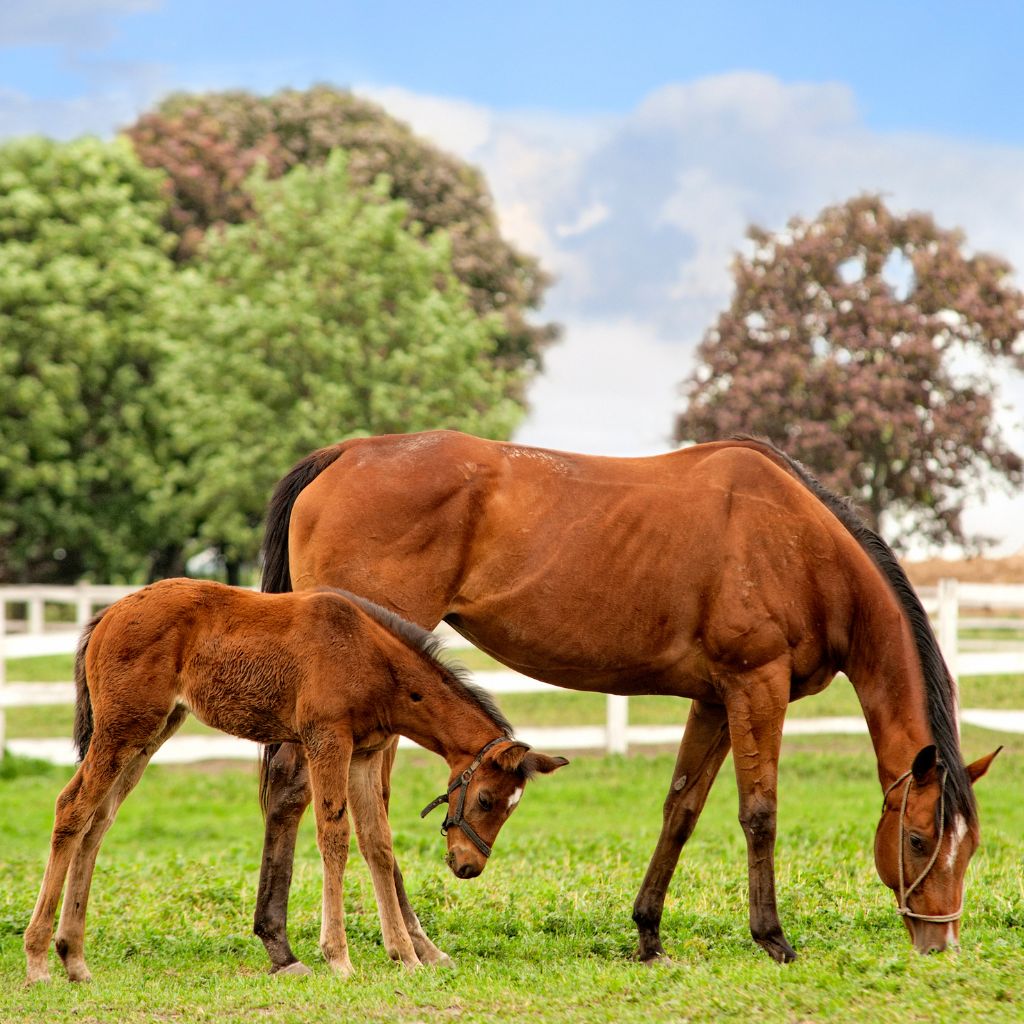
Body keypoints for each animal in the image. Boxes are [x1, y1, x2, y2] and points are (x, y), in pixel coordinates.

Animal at [22, 577, 569, 983]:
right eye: (485, 799)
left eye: (511, 806)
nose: (468, 865)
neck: (374, 659)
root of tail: (106, 615)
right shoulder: (327, 740)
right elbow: (334, 837)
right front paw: (340, 959)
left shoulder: (364, 755)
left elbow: (378, 843)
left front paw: (406, 957)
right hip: (122, 729)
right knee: (72, 808)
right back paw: (38, 962)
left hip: (151, 731)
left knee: (98, 821)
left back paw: (74, 959)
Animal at [253, 430, 999, 966]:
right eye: (918, 838)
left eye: (970, 847)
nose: (940, 944)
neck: (800, 543)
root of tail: (346, 453)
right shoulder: (756, 686)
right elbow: (759, 813)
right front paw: (773, 938)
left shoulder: (716, 700)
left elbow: (681, 810)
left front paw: (648, 935)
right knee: (328, 797)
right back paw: (325, 944)